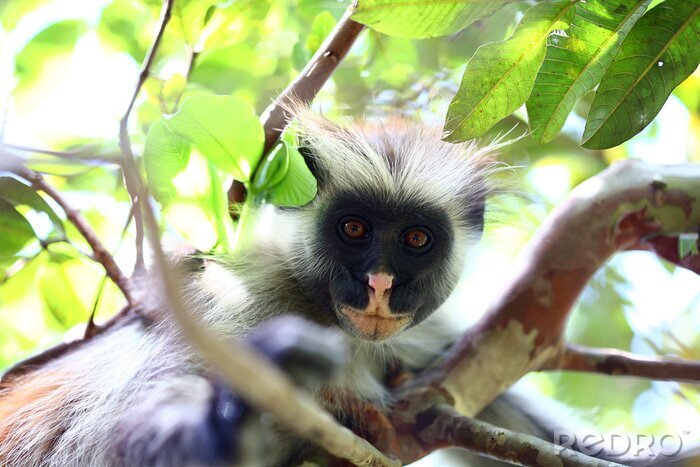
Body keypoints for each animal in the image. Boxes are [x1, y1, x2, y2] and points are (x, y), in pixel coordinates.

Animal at [0, 106, 697, 467]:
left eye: (415, 239)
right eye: (355, 229)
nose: (381, 284)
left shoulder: (424, 336)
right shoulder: (233, 305)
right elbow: (127, 428)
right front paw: (240, 412)